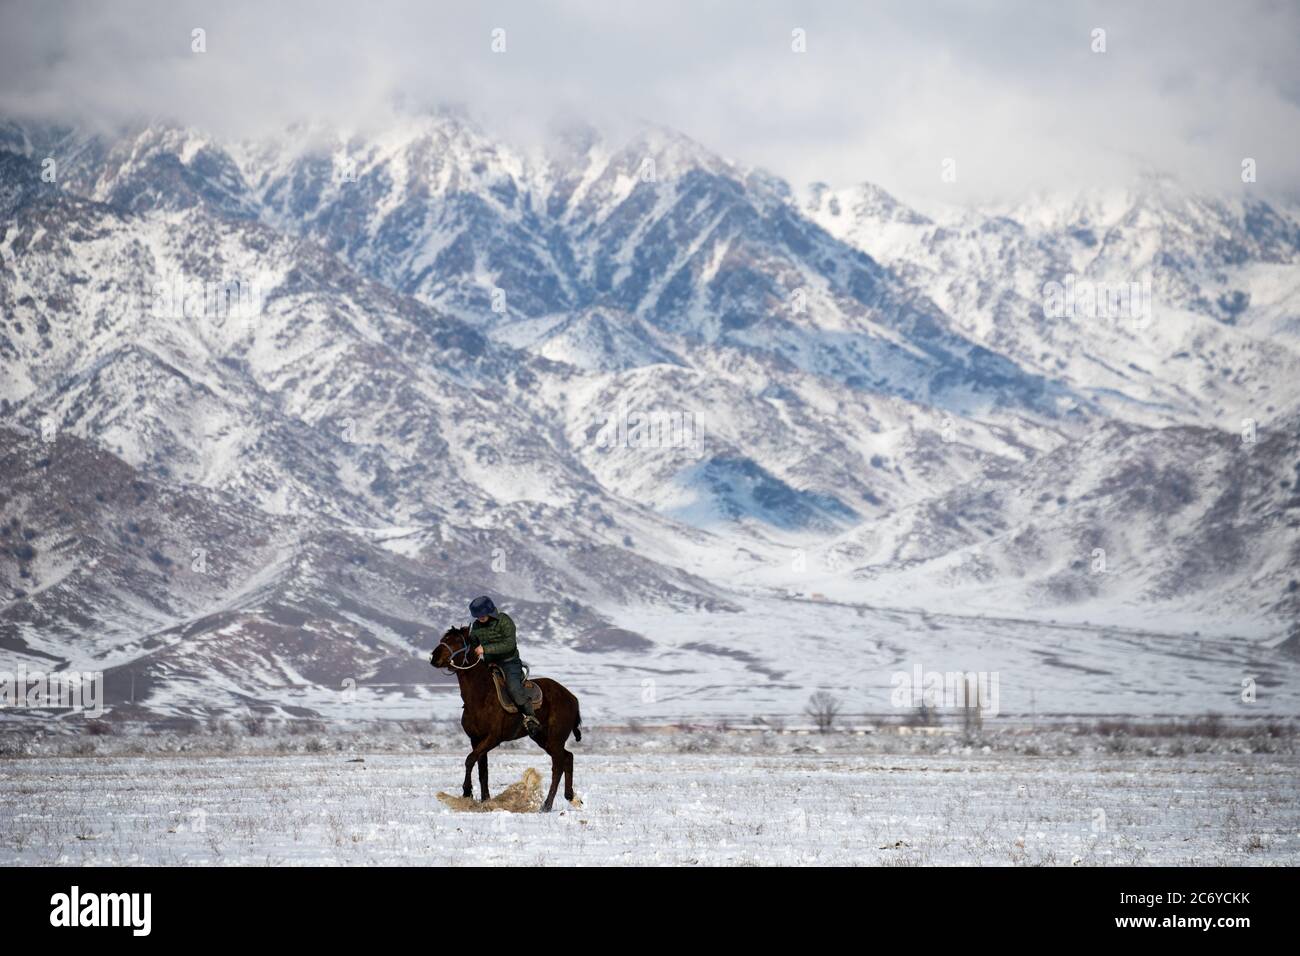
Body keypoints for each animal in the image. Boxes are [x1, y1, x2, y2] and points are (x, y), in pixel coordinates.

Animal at [431, 629, 585, 816]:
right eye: (443, 638)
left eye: (456, 641)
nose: (433, 657)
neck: (481, 695)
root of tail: (572, 698)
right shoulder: (476, 739)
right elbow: (482, 770)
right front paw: (485, 800)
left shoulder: (493, 738)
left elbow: (469, 759)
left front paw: (467, 792)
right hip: (542, 738)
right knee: (568, 757)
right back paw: (569, 796)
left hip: (555, 739)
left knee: (558, 766)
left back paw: (547, 805)